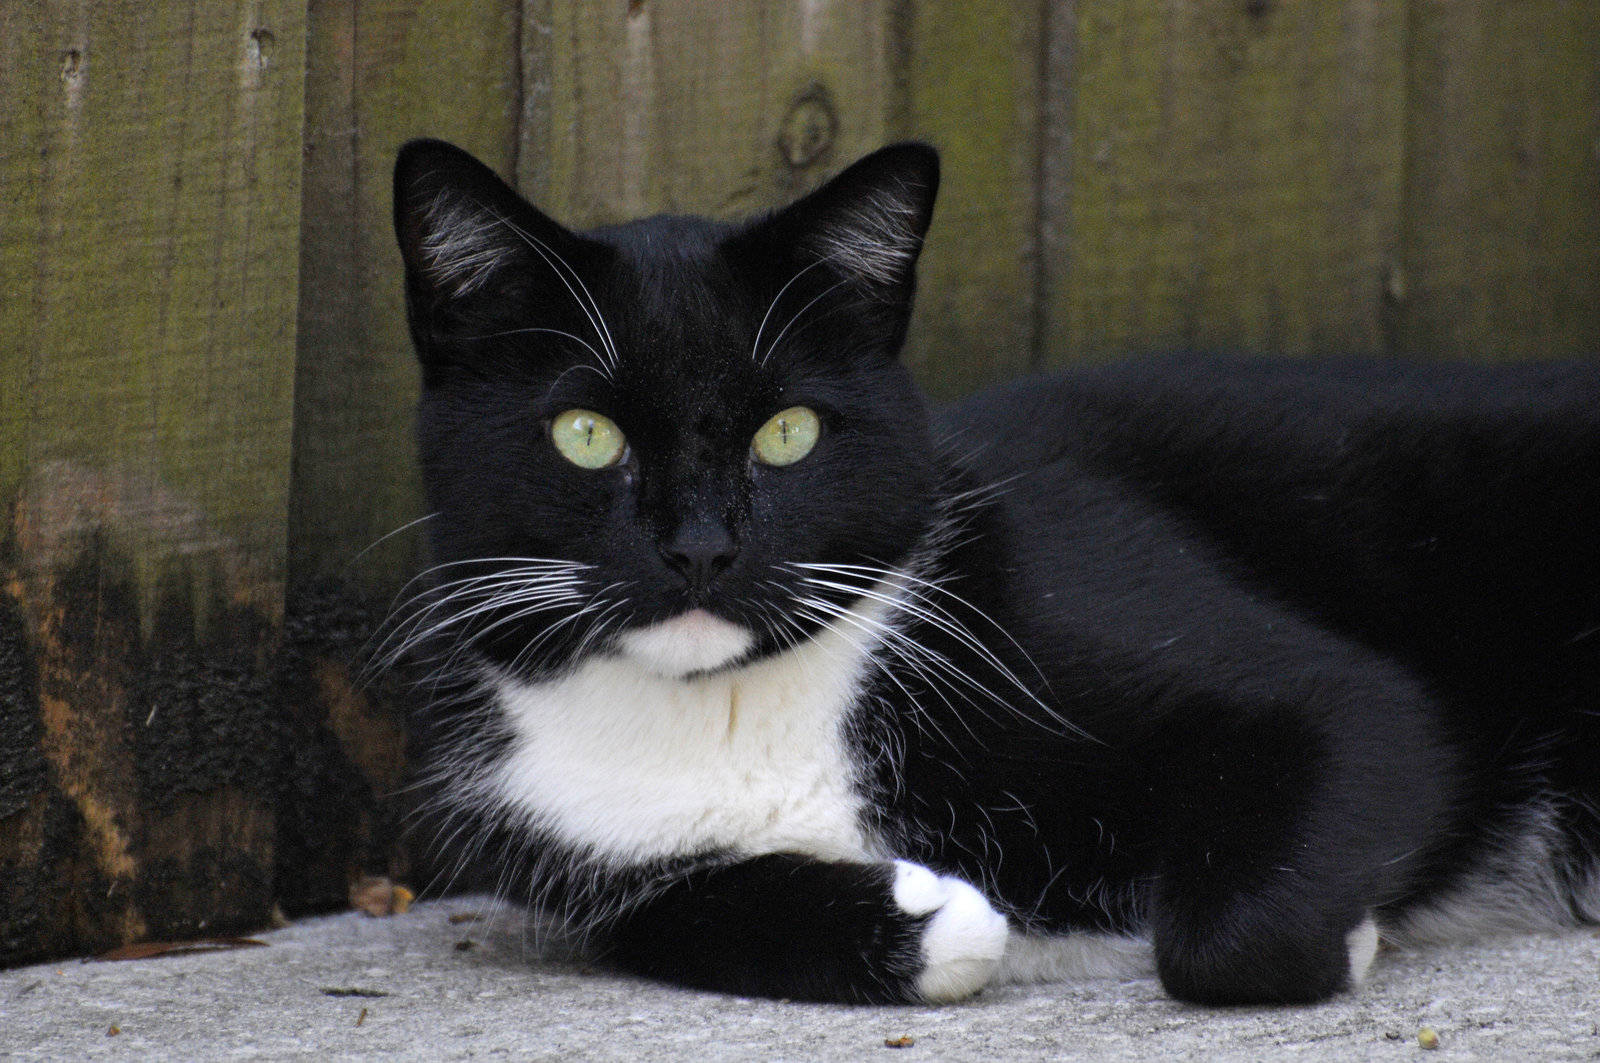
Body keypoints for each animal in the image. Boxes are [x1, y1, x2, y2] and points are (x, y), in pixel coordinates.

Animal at [384, 139, 1600, 1005]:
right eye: (586, 436)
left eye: (788, 433)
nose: (699, 546)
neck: (730, 705)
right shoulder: (568, 836)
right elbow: (671, 914)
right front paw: (930, 924)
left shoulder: (1306, 686)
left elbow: (1326, 780)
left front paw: (1345, 936)